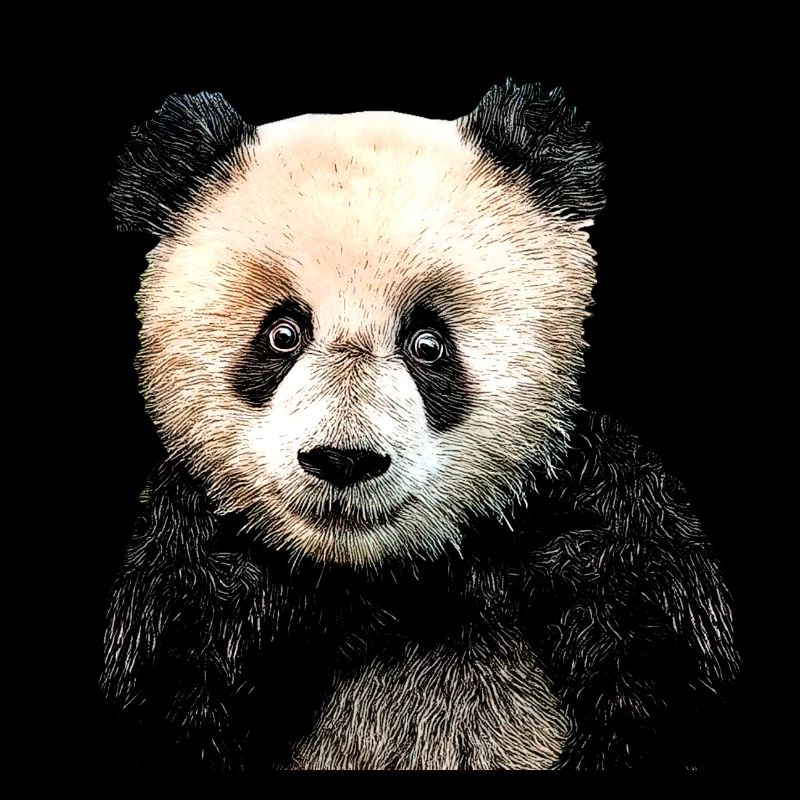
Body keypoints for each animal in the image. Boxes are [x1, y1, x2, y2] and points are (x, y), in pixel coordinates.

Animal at [101, 81, 739, 771]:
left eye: (427, 344)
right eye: (282, 334)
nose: (344, 459)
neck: (393, 578)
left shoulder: (617, 527)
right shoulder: (171, 568)